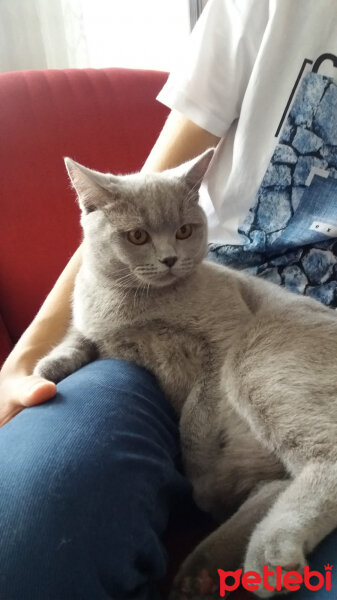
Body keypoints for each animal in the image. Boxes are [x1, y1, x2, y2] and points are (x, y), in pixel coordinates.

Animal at [35, 149, 336, 596]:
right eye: (137, 236)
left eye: (183, 230)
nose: (169, 258)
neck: (136, 306)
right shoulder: (93, 323)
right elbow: (79, 335)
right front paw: (48, 367)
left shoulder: (223, 344)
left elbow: (195, 419)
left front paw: (198, 468)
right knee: (274, 483)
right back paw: (202, 572)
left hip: (255, 358)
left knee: (322, 457)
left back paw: (267, 555)